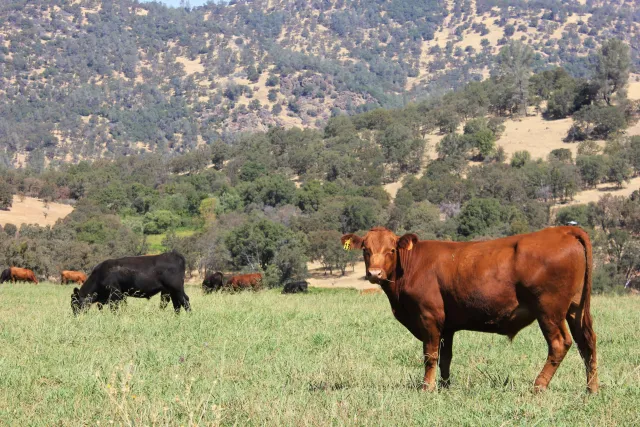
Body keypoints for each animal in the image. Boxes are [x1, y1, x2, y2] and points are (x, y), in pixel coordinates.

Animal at [341, 226, 598, 393]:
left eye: (391, 250)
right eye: (365, 249)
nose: (374, 273)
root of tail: (564, 230)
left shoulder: (429, 317)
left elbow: (430, 355)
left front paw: (427, 387)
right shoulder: (447, 326)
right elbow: (445, 357)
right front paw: (444, 387)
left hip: (549, 310)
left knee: (560, 344)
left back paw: (538, 386)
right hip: (575, 310)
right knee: (587, 343)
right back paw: (591, 388)